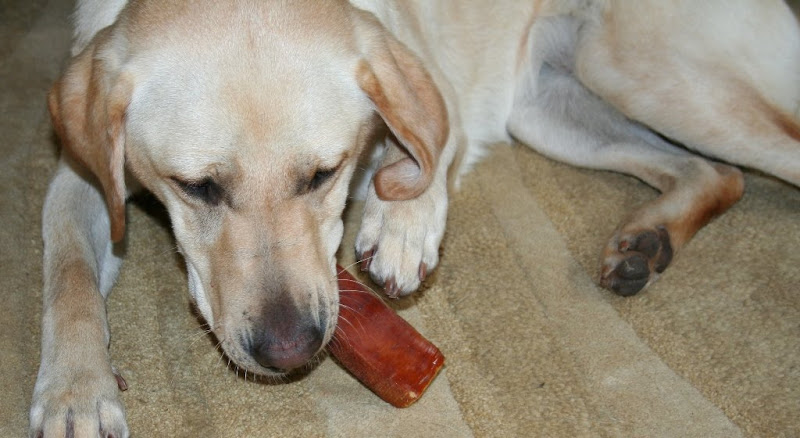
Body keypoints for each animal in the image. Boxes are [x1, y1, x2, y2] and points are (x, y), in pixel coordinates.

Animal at [31, 0, 800, 436]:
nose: (291, 349)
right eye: (196, 187)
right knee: (715, 174)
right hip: (552, 108)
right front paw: (76, 390)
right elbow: (68, 277)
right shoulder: (79, 177)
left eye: (325, 173)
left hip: (639, 69)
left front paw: (400, 223)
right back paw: (648, 240)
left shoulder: (430, 83)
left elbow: (428, 146)